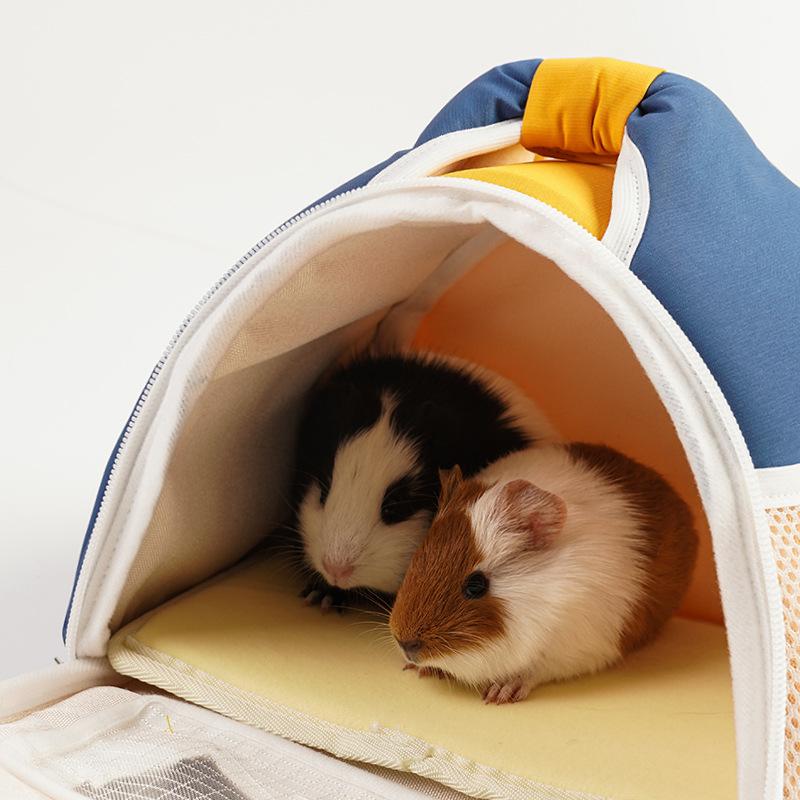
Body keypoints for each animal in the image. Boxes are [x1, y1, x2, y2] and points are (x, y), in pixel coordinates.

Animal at [389, 442, 698, 703]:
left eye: (476, 585)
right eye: (418, 557)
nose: (405, 645)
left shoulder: (571, 648)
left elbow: (530, 671)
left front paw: (500, 694)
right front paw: (420, 670)